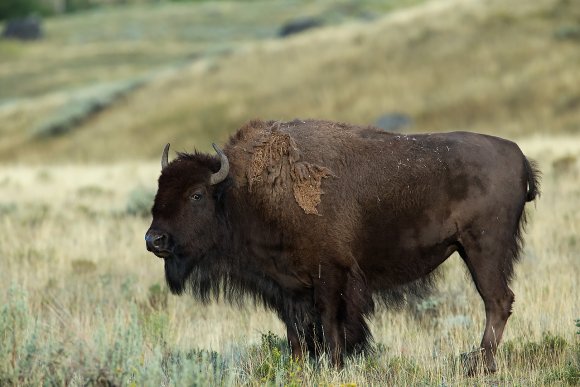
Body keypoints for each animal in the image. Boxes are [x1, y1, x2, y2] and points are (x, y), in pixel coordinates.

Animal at [144, 118, 540, 372]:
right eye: (160, 189)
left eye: (196, 194)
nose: (154, 239)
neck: (242, 193)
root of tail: (518, 156)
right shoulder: (287, 288)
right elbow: (297, 333)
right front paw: (299, 368)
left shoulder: (330, 276)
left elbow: (331, 326)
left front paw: (334, 366)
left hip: (483, 249)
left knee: (497, 300)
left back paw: (479, 365)